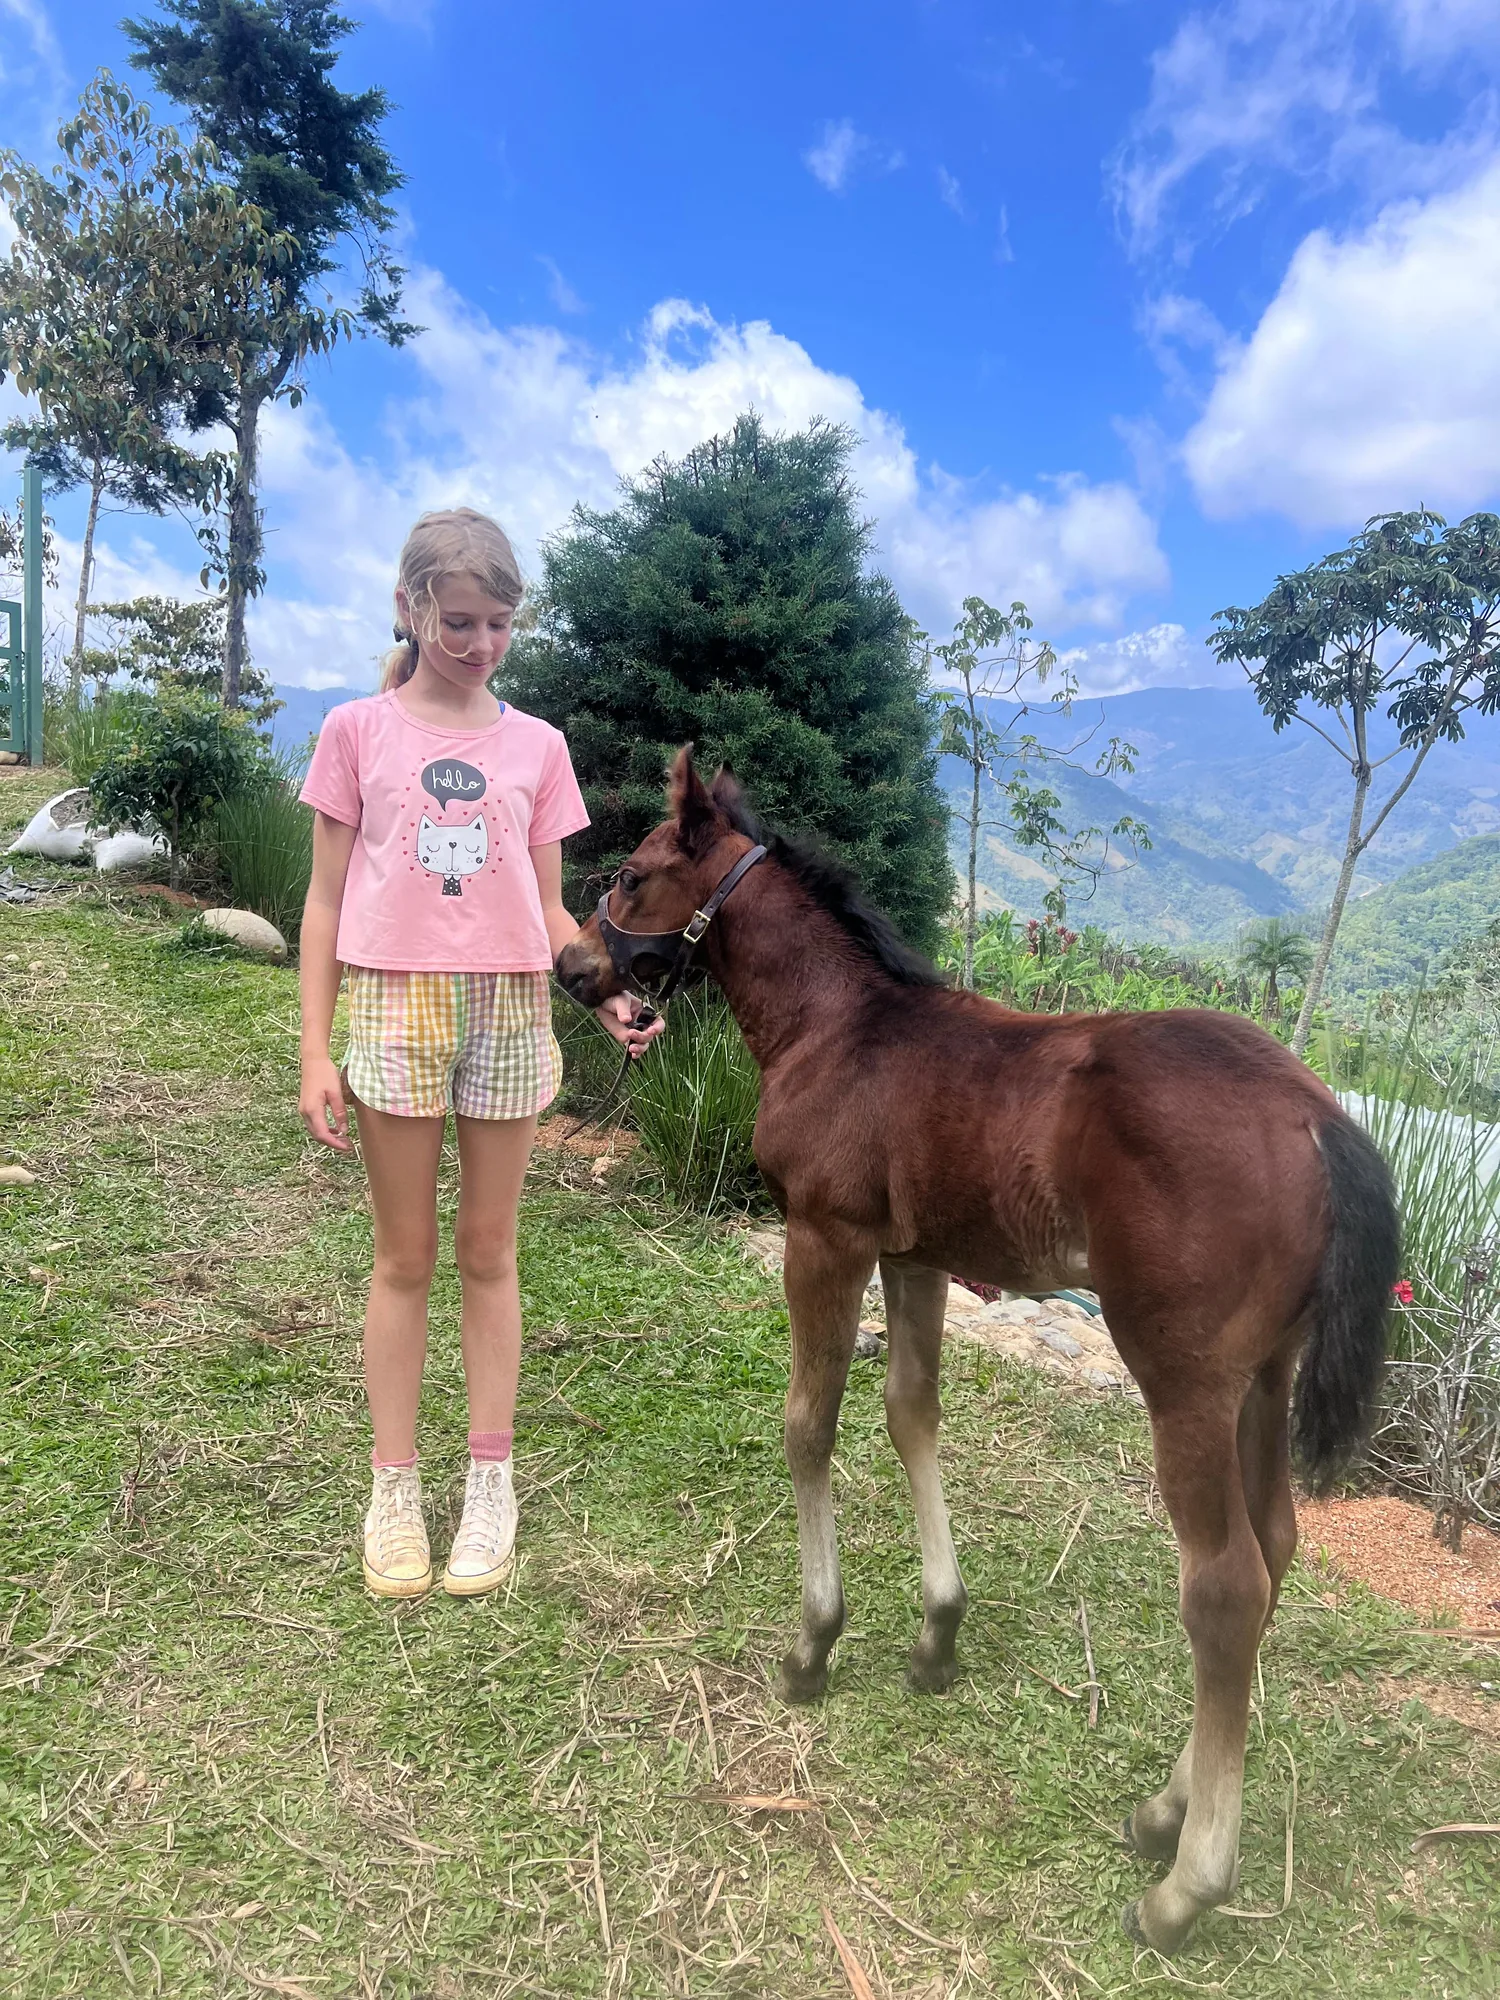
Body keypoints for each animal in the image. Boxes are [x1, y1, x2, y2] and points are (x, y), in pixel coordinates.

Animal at [556, 748, 1399, 1954]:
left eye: (630, 872)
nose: (574, 967)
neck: (837, 1028)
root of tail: (1317, 1113)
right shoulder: (916, 1255)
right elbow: (912, 1413)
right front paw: (936, 1634)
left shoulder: (824, 1237)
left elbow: (809, 1424)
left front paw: (814, 1643)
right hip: (1264, 1377)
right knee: (1277, 1545)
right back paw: (1165, 1807)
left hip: (1183, 1375)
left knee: (1225, 1583)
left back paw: (1186, 1884)